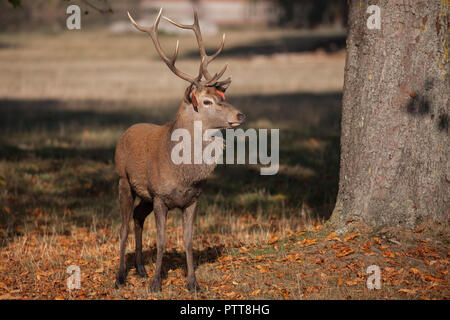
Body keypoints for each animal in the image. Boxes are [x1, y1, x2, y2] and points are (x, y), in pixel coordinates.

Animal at [113, 8, 246, 292]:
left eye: (223, 97)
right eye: (206, 101)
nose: (240, 115)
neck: (182, 173)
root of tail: (125, 132)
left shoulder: (192, 199)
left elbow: (188, 239)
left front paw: (193, 283)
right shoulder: (161, 196)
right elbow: (163, 240)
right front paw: (156, 284)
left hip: (145, 196)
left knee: (137, 217)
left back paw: (140, 269)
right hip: (124, 181)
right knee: (123, 227)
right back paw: (120, 277)